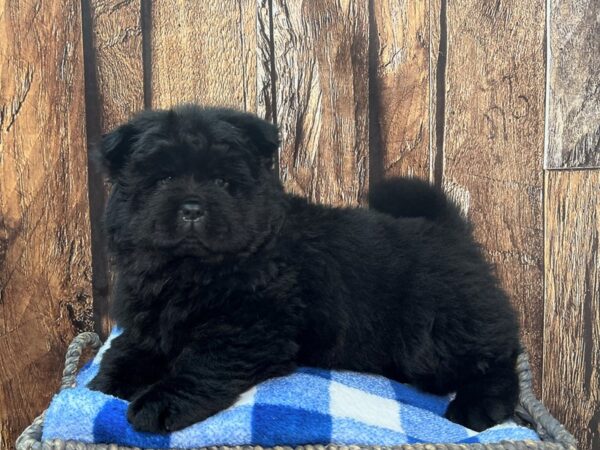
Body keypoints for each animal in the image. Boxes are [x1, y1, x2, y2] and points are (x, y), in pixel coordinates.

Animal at [89, 104, 520, 432]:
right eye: (163, 179)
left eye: (223, 182)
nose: (192, 208)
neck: (188, 273)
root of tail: (452, 232)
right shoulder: (151, 316)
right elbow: (132, 348)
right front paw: (106, 380)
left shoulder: (247, 328)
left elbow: (200, 364)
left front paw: (158, 402)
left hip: (436, 332)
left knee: (498, 360)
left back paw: (477, 407)